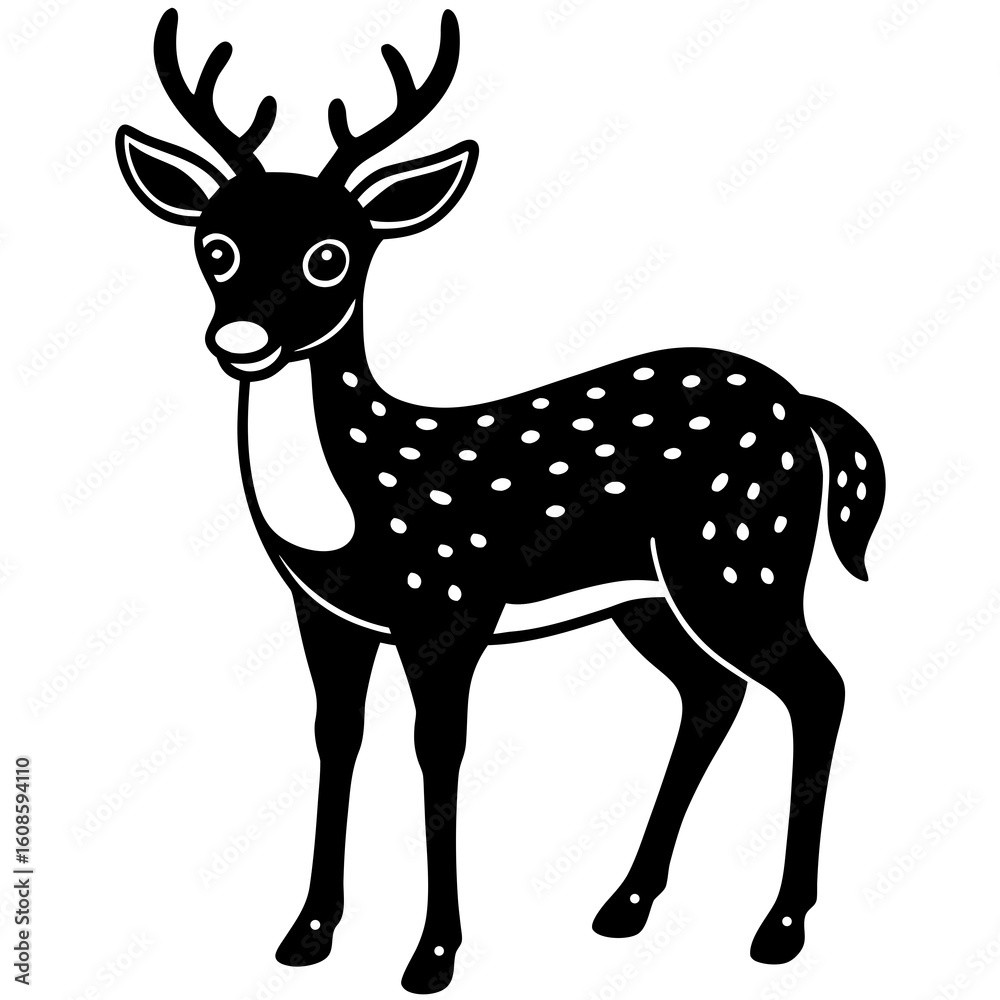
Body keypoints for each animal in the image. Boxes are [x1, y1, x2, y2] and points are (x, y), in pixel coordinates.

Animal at [115, 8, 886, 994]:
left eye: (332, 255)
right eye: (215, 245)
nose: (240, 340)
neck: (357, 502)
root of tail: (804, 405)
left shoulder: (450, 605)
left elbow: (438, 751)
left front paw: (432, 955)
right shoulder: (324, 611)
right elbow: (337, 737)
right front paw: (308, 933)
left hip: (742, 557)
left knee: (819, 688)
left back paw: (780, 928)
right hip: (651, 598)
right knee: (714, 692)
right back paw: (626, 905)